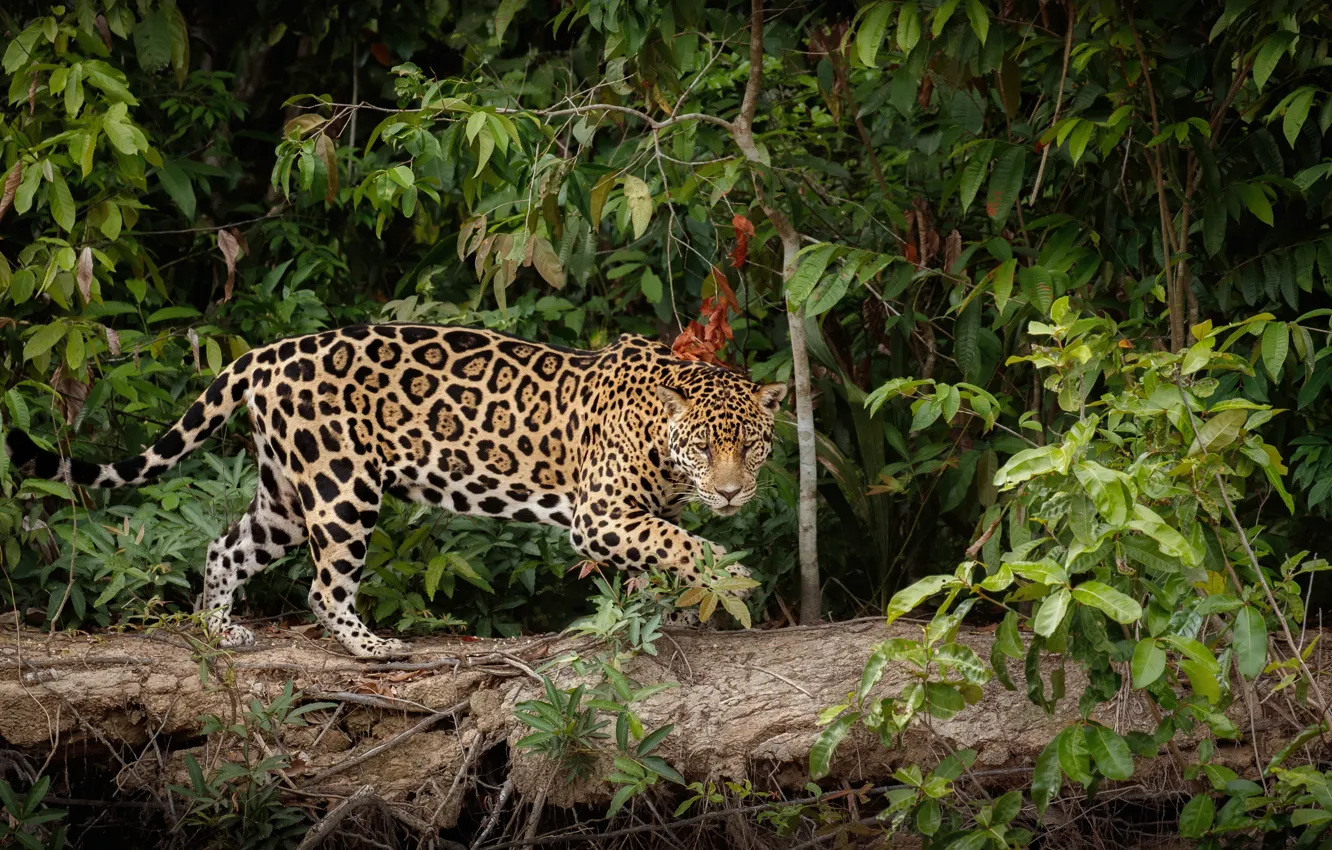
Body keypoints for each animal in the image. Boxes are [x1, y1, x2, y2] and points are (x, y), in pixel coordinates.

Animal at [6, 324, 787, 658]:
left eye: (750, 445)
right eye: (705, 446)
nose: (729, 494)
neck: (662, 438)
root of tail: (262, 354)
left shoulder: (631, 517)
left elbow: (654, 556)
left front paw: (672, 611)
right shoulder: (600, 514)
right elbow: (676, 543)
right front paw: (731, 579)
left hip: (284, 497)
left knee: (225, 548)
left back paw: (220, 629)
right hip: (340, 488)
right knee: (322, 587)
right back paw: (372, 647)